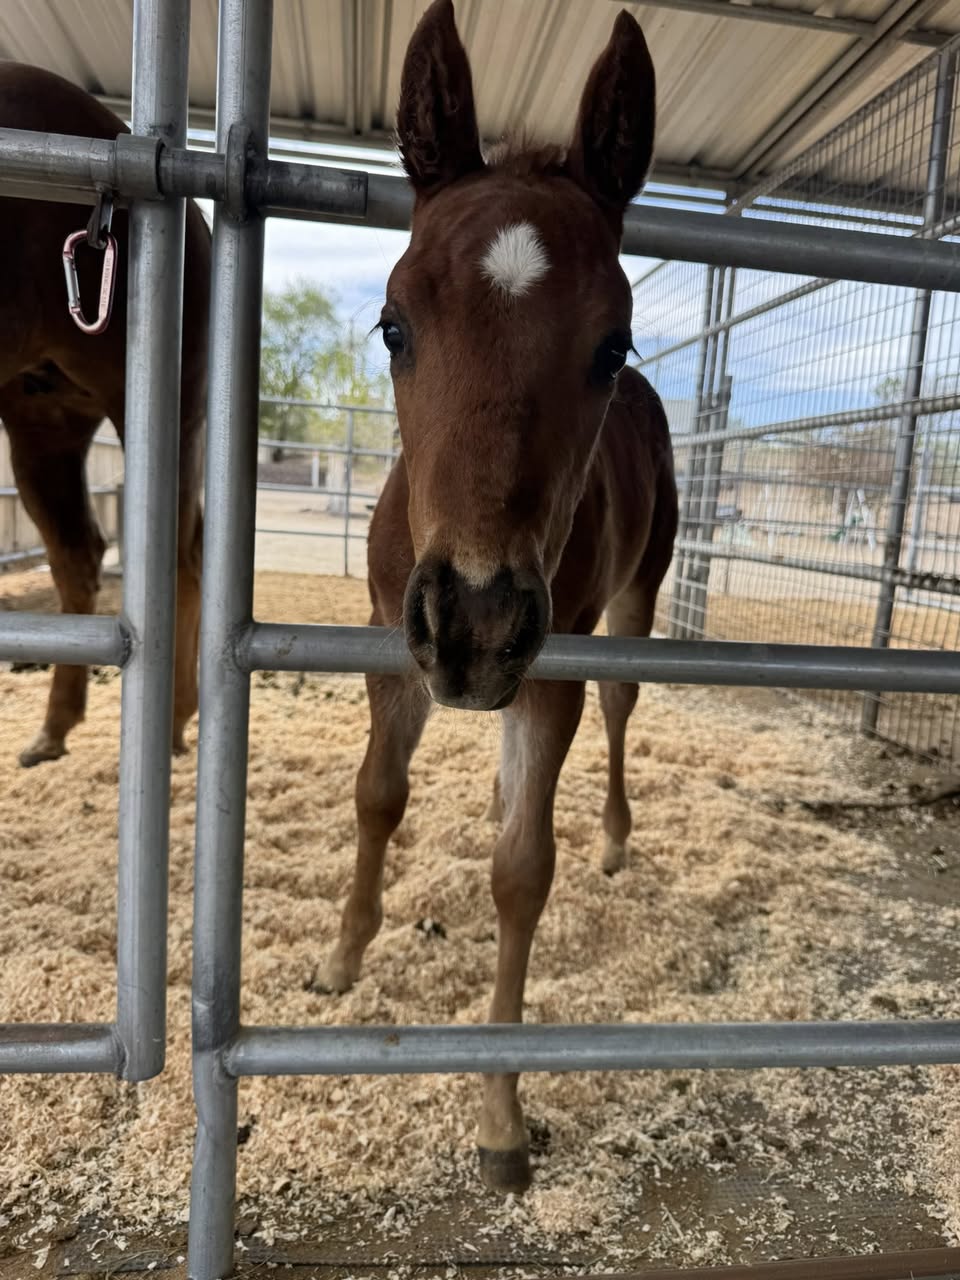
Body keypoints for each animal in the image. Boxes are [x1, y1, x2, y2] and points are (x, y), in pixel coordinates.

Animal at [0, 63, 210, 766]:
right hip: (44, 425)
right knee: (81, 554)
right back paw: (53, 732)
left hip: (164, 412)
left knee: (177, 558)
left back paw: (169, 724)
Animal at [315, 0, 677, 1194]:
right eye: (391, 324)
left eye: (611, 343)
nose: (476, 619)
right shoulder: (394, 642)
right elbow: (377, 794)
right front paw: (342, 957)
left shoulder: (546, 670)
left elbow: (525, 869)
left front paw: (501, 1113)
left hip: (630, 608)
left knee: (618, 718)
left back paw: (612, 837)